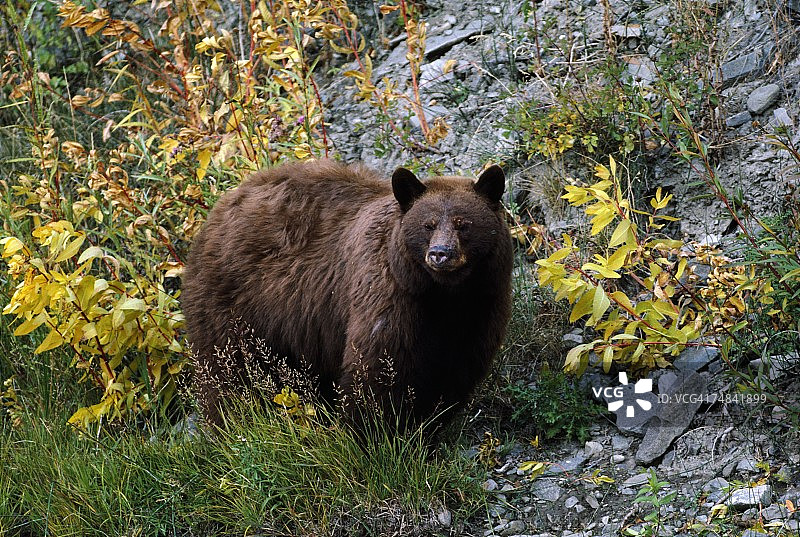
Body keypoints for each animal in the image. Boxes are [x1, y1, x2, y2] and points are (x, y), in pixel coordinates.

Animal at [181, 159, 513, 433]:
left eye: (463, 223)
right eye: (427, 225)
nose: (440, 254)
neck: (443, 295)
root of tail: (218, 210)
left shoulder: (480, 308)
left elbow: (454, 370)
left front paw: (430, 426)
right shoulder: (389, 295)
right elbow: (376, 369)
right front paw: (374, 433)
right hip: (235, 303)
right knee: (228, 371)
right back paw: (231, 422)